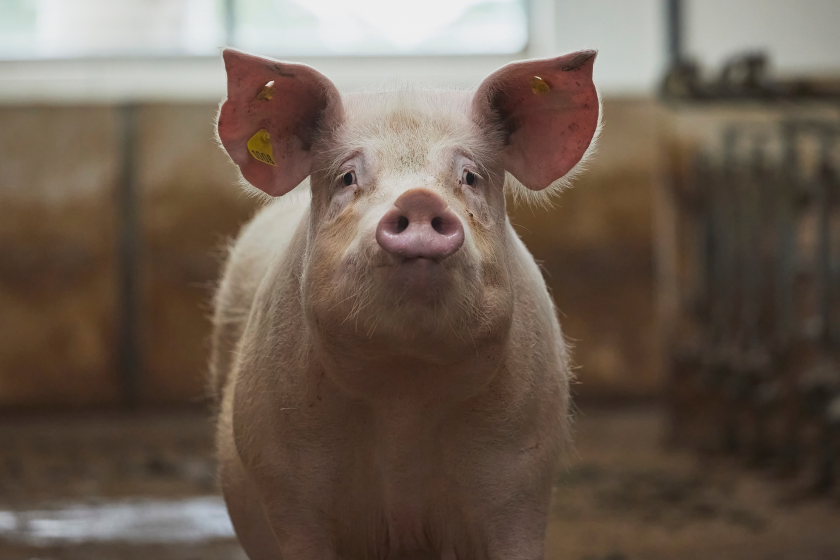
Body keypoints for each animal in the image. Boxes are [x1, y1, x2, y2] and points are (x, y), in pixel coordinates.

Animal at [210, 47, 599, 560]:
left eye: (469, 176)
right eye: (348, 177)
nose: (418, 198)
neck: (404, 394)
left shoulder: (522, 477)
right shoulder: (287, 487)